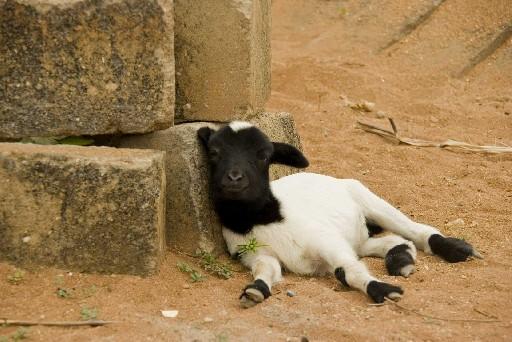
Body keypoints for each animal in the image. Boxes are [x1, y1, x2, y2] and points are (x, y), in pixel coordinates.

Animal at [198, 122, 482, 308]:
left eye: (264, 155)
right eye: (214, 153)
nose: (234, 178)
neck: (262, 218)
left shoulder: (326, 240)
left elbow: (350, 270)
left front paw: (381, 290)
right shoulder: (256, 255)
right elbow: (267, 271)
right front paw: (255, 291)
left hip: (367, 198)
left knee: (415, 230)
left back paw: (455, 249)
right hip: (356, 235)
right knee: (388, 242)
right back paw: (401, 259)